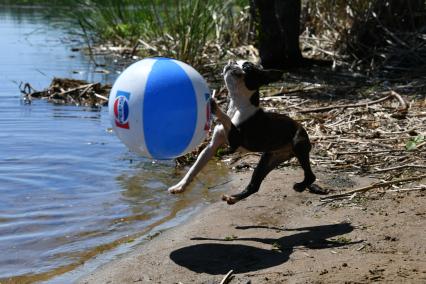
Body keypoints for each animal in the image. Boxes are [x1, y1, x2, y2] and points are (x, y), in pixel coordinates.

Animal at [168, 60, 324, 204]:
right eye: (236, 61)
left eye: (247, 67)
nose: (231, 62)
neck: (237, 106)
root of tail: (301, 126)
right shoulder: (212, 146)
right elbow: (194, 168)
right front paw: (180, 186)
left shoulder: (236, 140)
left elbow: (226, 120)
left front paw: (215, 105)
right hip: (269, 158)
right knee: (254, 185)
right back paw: (233, 198)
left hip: (298, 145)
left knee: (311, 175)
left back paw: (300, 186)